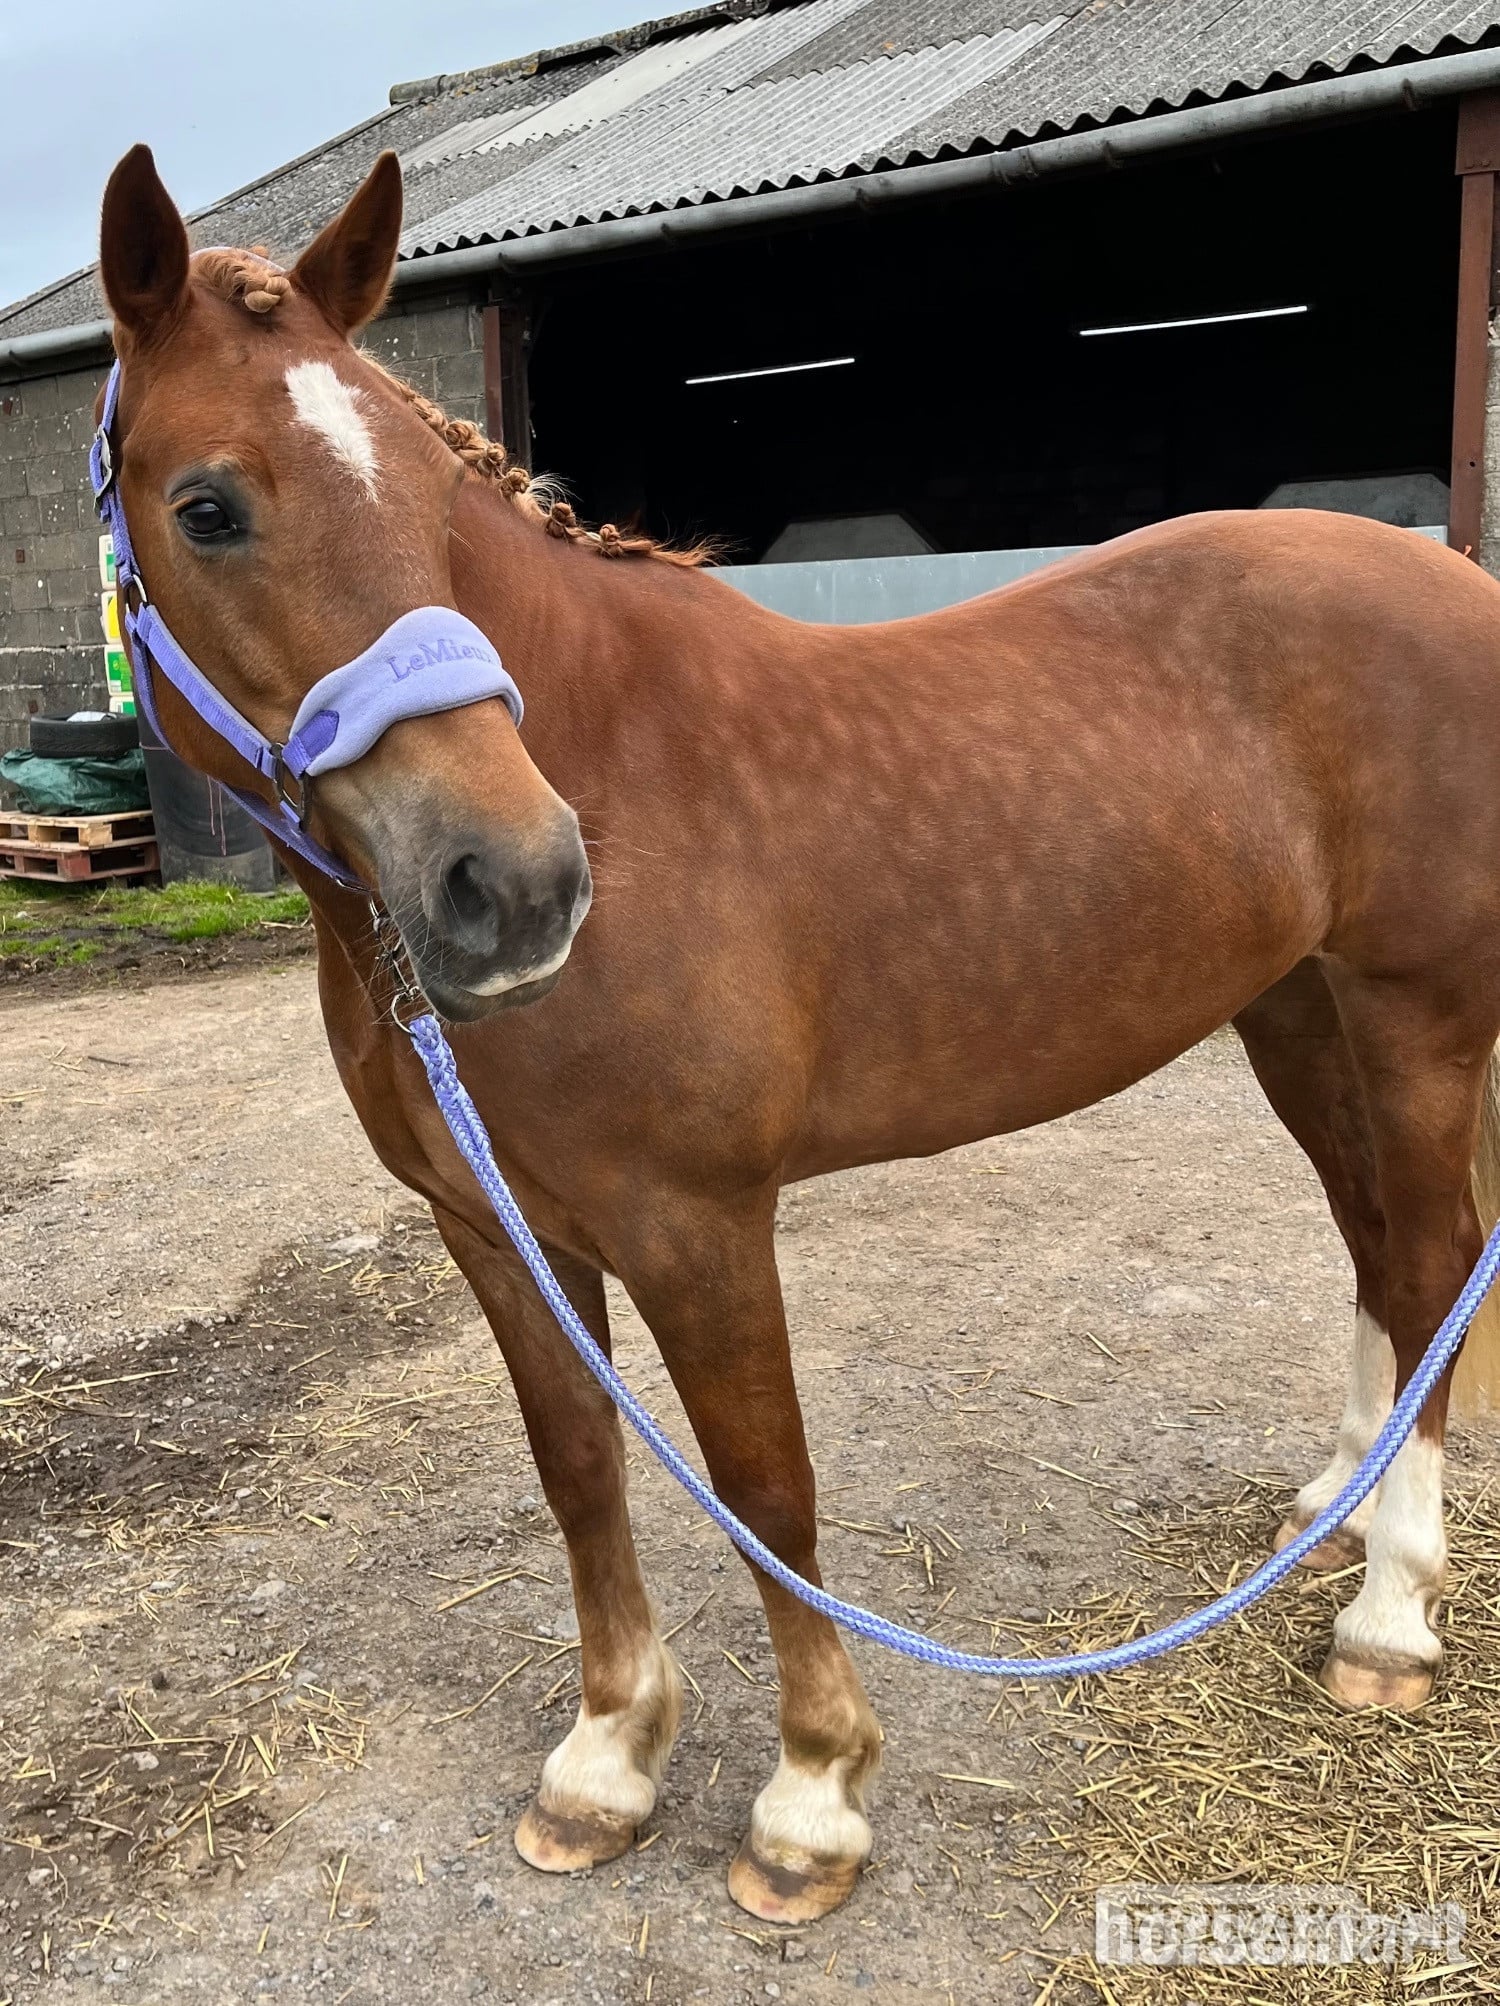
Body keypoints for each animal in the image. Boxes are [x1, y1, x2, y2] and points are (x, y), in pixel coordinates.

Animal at [94, 141, 1500, 1924]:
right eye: (206, 505)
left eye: (423, 506)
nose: (515, 884)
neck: (609, 756)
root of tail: (1453, 578)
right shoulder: (493, 1226)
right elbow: (582, 1468)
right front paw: (605, 1761)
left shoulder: (695, 1221)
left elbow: (767, 1487)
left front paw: (813, 1796)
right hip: (1296, 1013)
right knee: (1385, 1250)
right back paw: (1339, 1506)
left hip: (1414, 1013)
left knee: (1434, 1256)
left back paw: (1390, 1613)